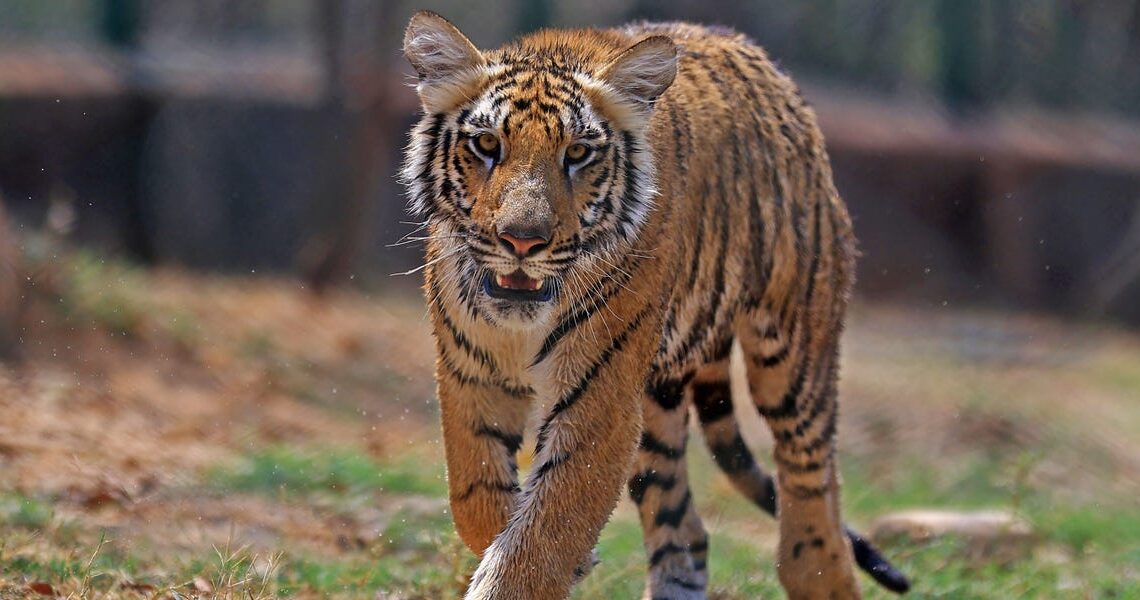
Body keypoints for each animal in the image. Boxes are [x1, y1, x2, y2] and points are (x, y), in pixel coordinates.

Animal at [401, 11, 910, 600]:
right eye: (486, 144)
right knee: (685, 532)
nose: (522, 241)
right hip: (656, 406)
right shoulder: (470, 373)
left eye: (577, 153)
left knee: (813, 495)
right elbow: (475, 495)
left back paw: (817, 564)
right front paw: (563, 555)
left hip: (793, 358)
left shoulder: (598, 399)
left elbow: (543, 532)